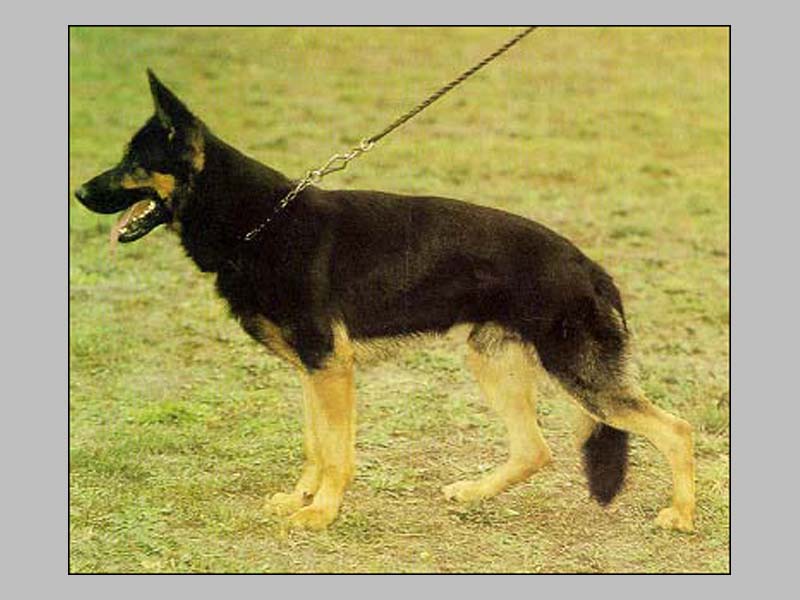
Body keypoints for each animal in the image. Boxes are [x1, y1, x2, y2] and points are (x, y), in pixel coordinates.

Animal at [74, 70, 695, 532]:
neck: (257, 221)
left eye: (133, 162)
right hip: (492, 364)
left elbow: (336, 453)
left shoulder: (331, 367)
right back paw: (473, 493)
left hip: (579, 377)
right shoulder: (314, 370)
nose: (78, 192)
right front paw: (302, 499)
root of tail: (590, 266)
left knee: (676, 430)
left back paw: (681, 517)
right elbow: (315, 445)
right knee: (534, 450)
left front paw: (322, 512)